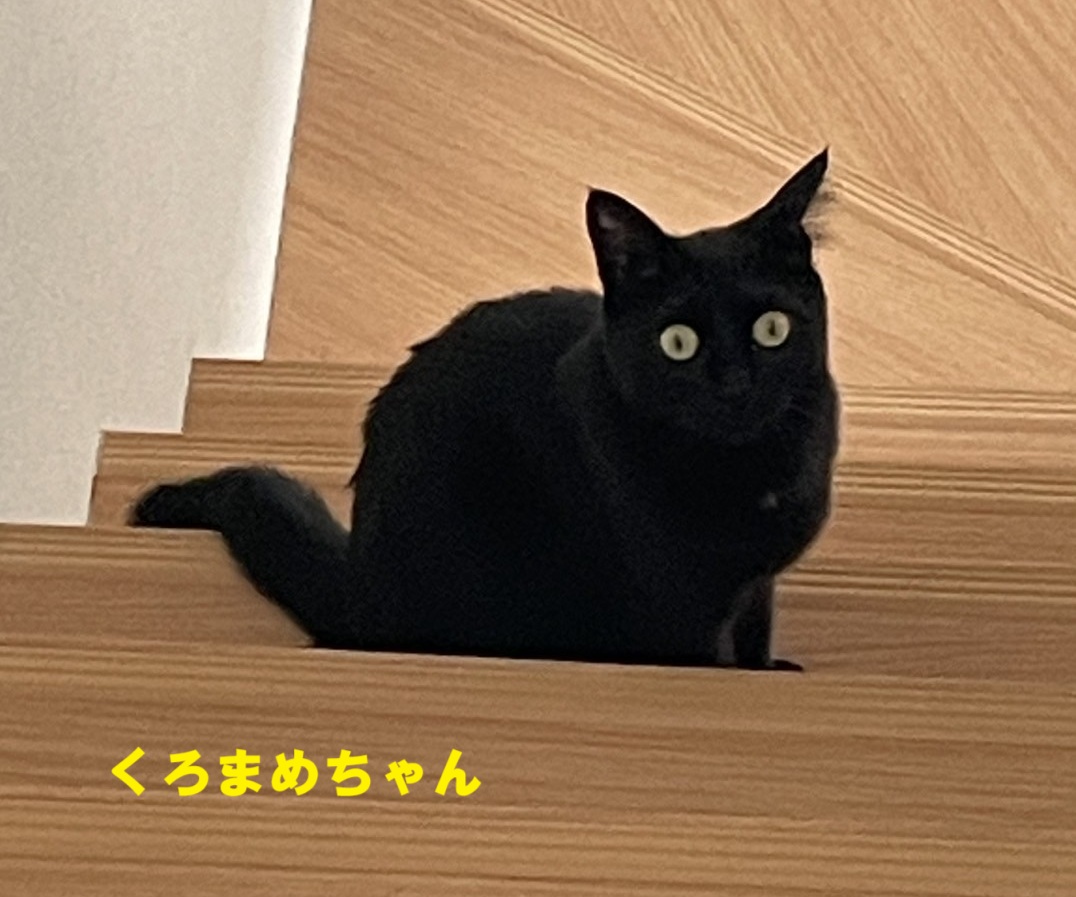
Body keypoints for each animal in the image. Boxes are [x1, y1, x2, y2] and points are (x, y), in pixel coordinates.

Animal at [131, 150, 839, 671]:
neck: (753, 475)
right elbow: (700, 654)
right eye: (678, 343)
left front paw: (766, 670)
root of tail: (360, 590)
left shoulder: (755, 586)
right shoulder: (671, 601)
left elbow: (753, 630)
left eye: (772, 329)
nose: (735, 384)